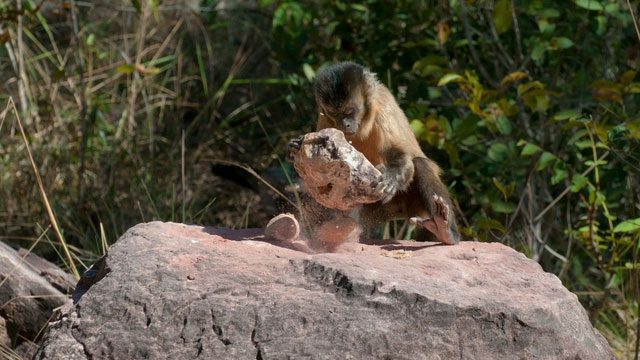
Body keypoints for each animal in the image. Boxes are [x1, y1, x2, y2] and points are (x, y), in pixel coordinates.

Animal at [312, 62, 458, 246]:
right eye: (334, 114)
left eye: (349, 111)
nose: (344, 124)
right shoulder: (324, 117)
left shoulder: (382, 106)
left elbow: (398, 152)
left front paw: (391, 177)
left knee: (420, 163)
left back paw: (444, 229)